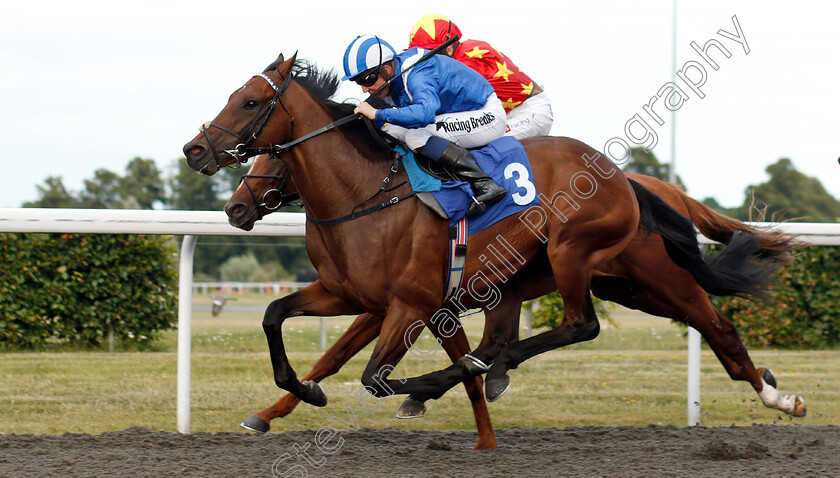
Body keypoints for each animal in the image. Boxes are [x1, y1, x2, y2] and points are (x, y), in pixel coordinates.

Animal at [185, 56, 808, 448]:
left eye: (250, 102)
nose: (195, 151)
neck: (365, 196)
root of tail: (626, 179)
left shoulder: (409, 305)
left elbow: (374, 376)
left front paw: (439, 387)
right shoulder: (349, 295)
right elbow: (289, 328)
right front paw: (278, 407)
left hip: (586, 256)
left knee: (602, 325)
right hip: (619, 283)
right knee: (694, 326)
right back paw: (775, 392)